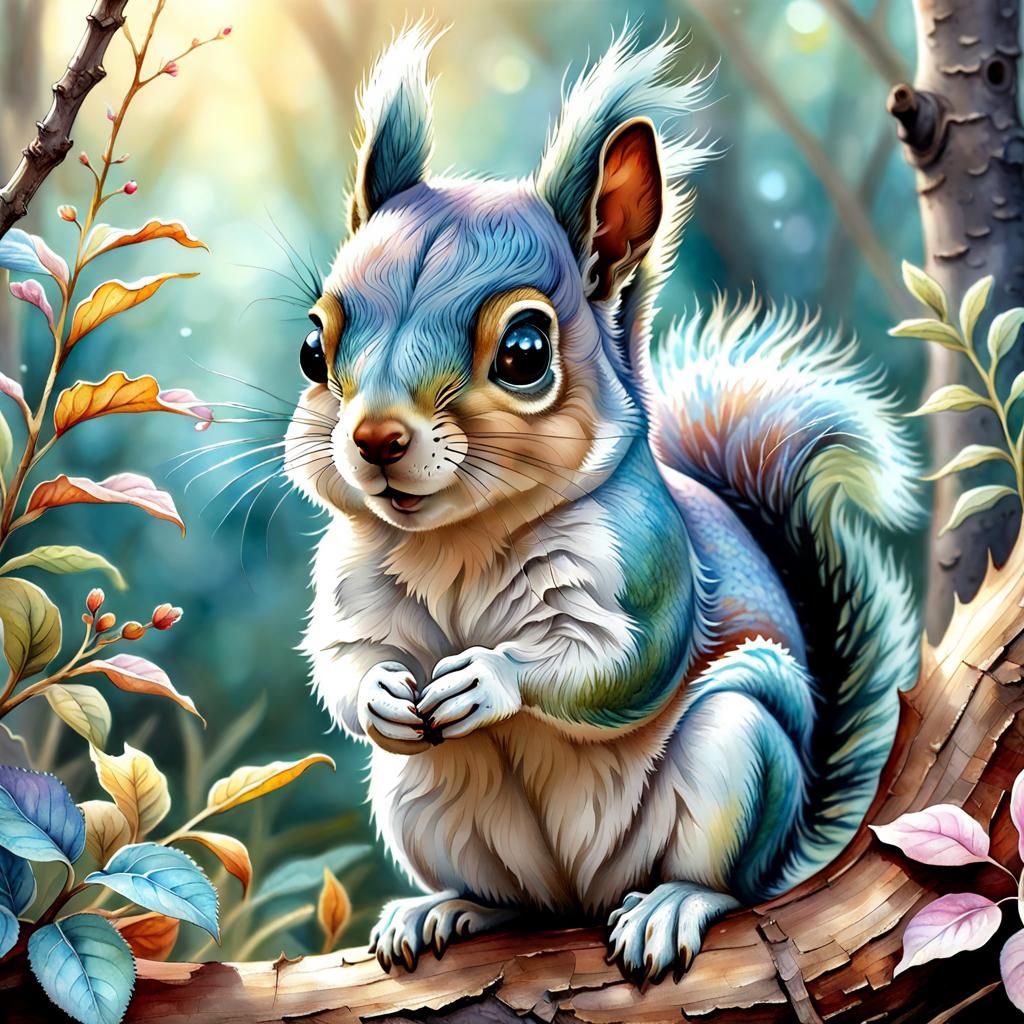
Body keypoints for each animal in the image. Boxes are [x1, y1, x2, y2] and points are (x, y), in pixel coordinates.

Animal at [285, 24, 920, 986]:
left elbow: (622, 663)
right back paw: (447, 908)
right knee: (515, 900)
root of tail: (584, 894)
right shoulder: (350, 586)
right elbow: (343, 661)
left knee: (728, 883)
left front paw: (490, 676)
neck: (456, 537)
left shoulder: (647, 568)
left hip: (739, 753)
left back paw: (670, 904)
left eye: (523, 352)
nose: (375, 440)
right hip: (419, 797)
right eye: (313, 348)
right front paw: (385, 697)